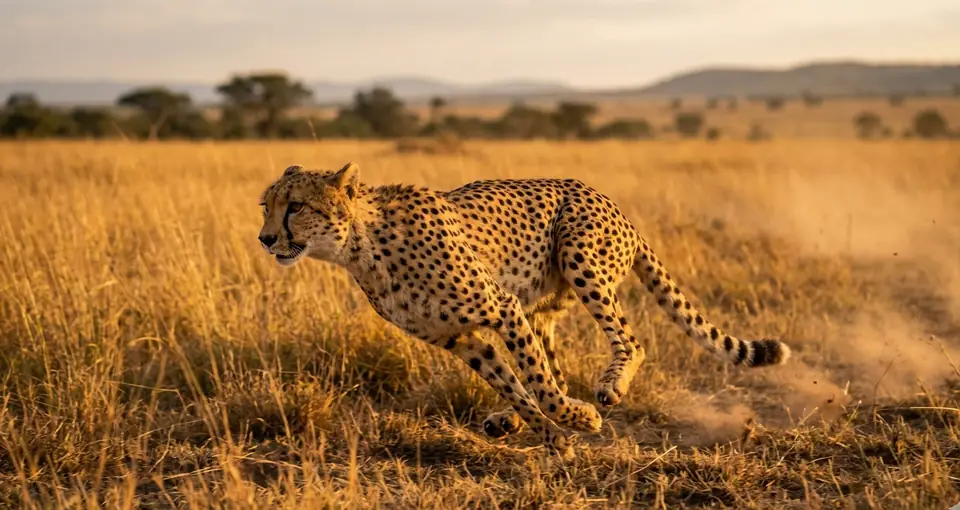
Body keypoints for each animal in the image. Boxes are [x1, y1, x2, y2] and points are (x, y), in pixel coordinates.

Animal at [257, 162, 791, 459]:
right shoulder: (462, 339)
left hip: (580, 259)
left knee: (628, 341)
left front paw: (577, 421)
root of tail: (610, 201)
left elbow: (539, 387)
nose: (265, 238)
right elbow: (517, 386)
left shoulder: (502, 307)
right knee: (555, 366)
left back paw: (608, 387)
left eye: (296, 206)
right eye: (266, 206)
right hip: (544, 307)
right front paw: (553, 438)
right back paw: (509, 421)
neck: (361, 245)